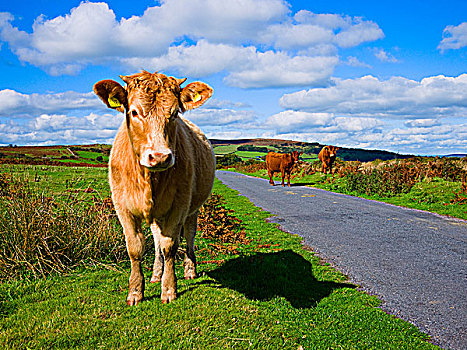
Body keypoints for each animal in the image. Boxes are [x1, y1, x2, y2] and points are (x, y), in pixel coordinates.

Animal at [93, 70, 218, 304]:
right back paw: (156, 273)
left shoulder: (179, 206)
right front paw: (135, 291)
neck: (148, 181)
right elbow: (136, 248)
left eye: (175, 113)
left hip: (192, 209)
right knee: (157, 240)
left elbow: (170, 246)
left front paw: (168, 289)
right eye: (133, 111)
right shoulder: (123, 208)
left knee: (189, 235)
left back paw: (189, 269)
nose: (160, 156)